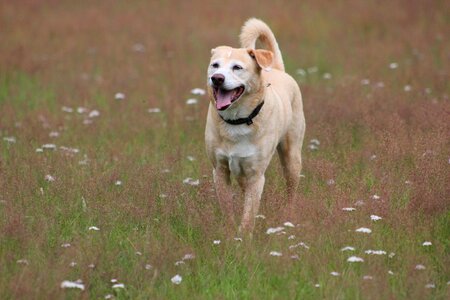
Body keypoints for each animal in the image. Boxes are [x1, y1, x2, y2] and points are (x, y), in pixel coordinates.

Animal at [205, 18, 306, 233]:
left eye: (237, 67)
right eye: (215, 65)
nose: (217, 78)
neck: (237, 121)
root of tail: (277, 69)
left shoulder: (256, 175)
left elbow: (248, 216)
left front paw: (243, 239)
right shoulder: (220, 171)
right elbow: (228, 210)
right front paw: (229, 235)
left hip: (292, 157)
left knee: (291, 190)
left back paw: (289, 215)